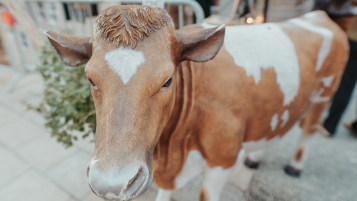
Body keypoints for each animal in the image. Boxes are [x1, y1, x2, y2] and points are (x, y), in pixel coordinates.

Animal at [44, 5, 348, 201]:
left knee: (309, 129)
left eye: (167, 80)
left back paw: (295, 166)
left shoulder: (223, 159)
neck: (172, 149)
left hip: (325, 94)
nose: (110, 183)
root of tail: (320, 15)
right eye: (90, 78)